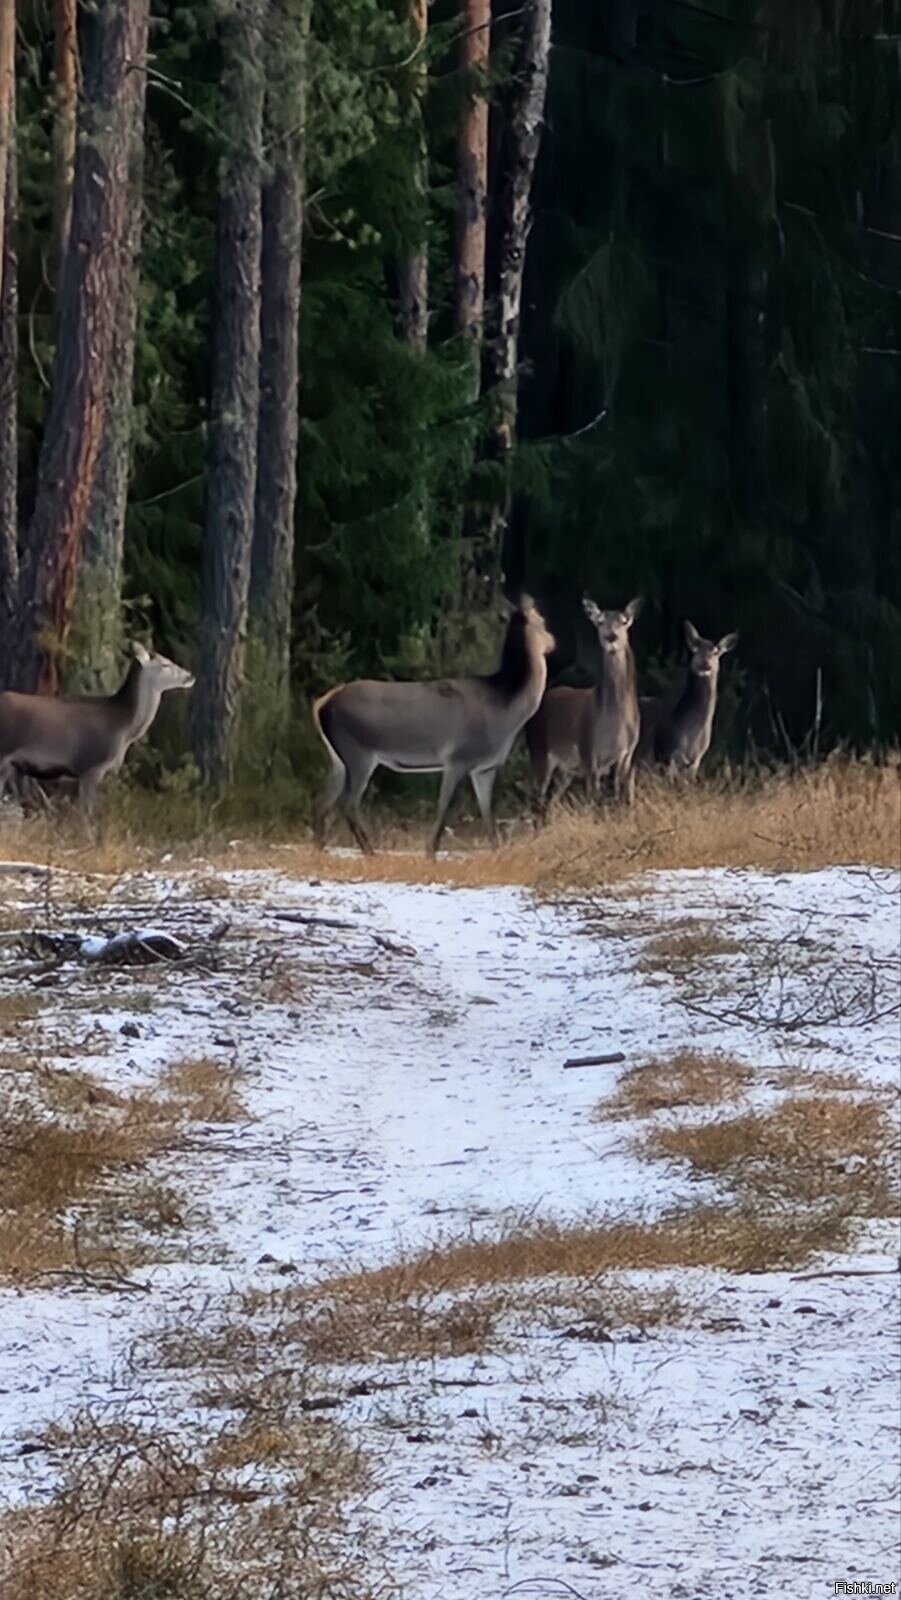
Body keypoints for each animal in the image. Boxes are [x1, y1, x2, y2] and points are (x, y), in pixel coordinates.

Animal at [0, 636, 196, 812]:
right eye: (165, 664)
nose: (190, 675)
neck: (125, 728)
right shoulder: (92, 766)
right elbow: (87, 814)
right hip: (4, 752)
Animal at [312, 595, 556, 857]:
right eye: (542, 621)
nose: (553, 642)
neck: (506, 710)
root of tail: (322, 704)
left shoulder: (484, 768)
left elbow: (488, 814)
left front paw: (496, 851)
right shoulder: (458, 757)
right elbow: (444, 809)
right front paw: (431, 852)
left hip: (338, 759)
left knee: (321, 802)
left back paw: (320, 849)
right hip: (358, 752)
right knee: (347, 804)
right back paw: (370, 852)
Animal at [524, 595, 646, 819]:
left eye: (624, 621)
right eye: (599, 621)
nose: (611, 637)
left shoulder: (628, 753)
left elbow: (622, 797)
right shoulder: (588, 750)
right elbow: (594, 800)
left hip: (566, 770)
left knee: (551, 801)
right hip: (539, 751)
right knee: (537, 798)